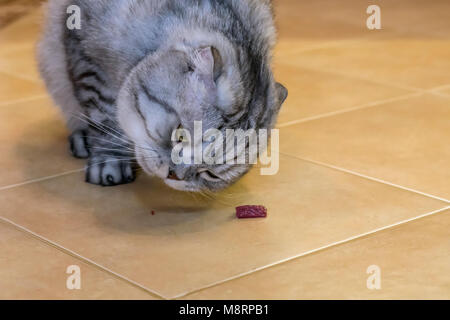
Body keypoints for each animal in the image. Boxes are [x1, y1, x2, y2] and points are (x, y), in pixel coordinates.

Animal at [37, 0, 284, 191]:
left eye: (210, 174)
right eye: (180, 134)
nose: (174, 174)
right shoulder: (89, 58)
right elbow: (105, 118)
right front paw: (109, 160)